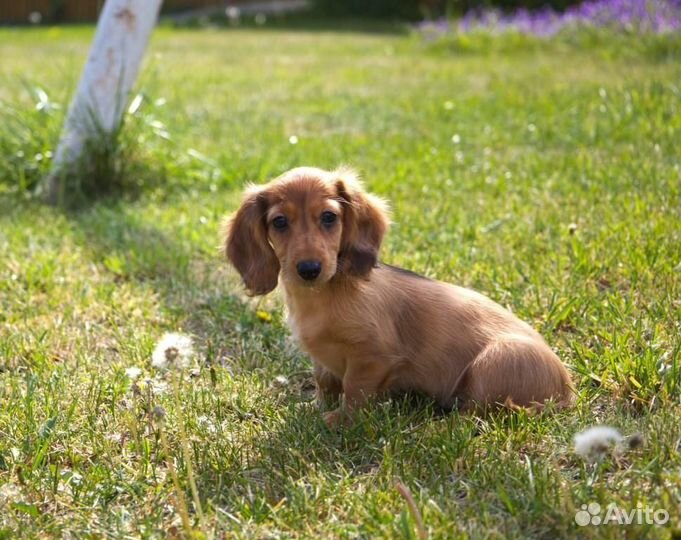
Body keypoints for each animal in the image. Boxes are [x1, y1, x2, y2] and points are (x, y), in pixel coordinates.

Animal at [224, 167, 572, 428]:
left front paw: (340, 419)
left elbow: (354, 390)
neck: (321, 297)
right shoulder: (322, 360)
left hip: (495, 361)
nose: (309, 269)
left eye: (328, 217)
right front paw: (314, 408)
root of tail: (568, 391)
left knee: (476, 415)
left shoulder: (372, 357)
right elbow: (325, 382)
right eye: (279, 222)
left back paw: (438, 427)